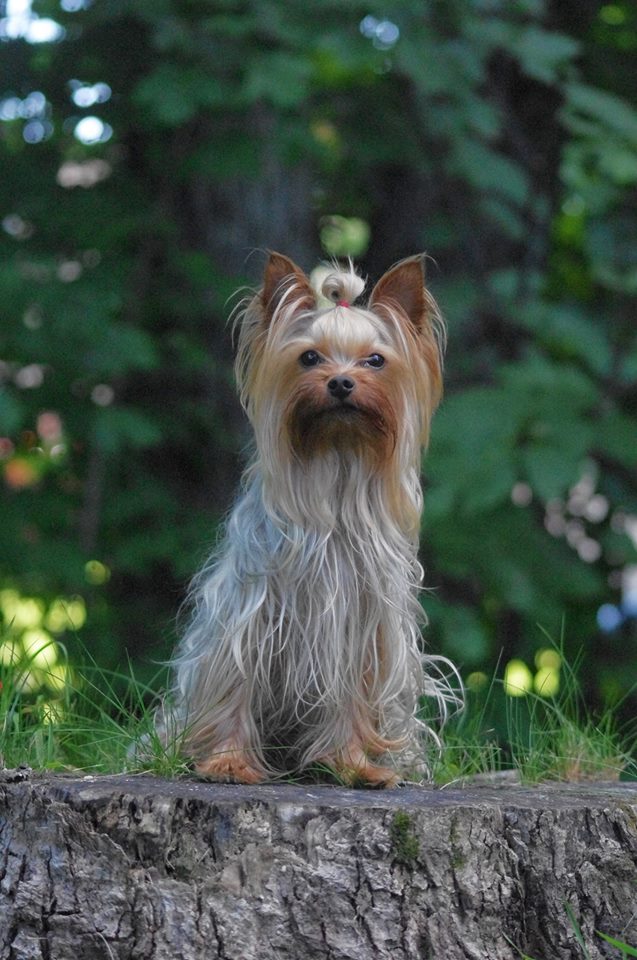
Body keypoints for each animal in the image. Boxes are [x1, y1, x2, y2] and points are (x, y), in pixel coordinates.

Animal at [165, 252, 458, 786]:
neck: (336, 463)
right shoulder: (248, 620)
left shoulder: (355, 637)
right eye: (308, 358)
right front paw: (228, 762)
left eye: (375, 360)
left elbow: (348, 706)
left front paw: (353, 767)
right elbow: (235, 687)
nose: (340, 382)